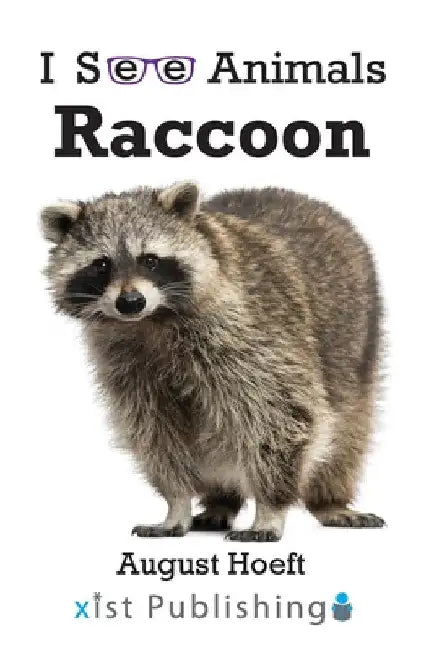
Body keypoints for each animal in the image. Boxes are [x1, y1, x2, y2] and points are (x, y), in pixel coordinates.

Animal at [41, 182, 385, 541]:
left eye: (150, 260)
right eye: (101, 264)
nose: (131, 302)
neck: (152, 321)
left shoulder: (253, 334)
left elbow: (282, 416)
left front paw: (270, 508)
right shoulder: (127, 365)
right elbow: (155, 432)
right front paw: (177, 502)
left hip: (358, 340)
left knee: (349, 429)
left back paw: (330, 498)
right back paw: (221, 500)